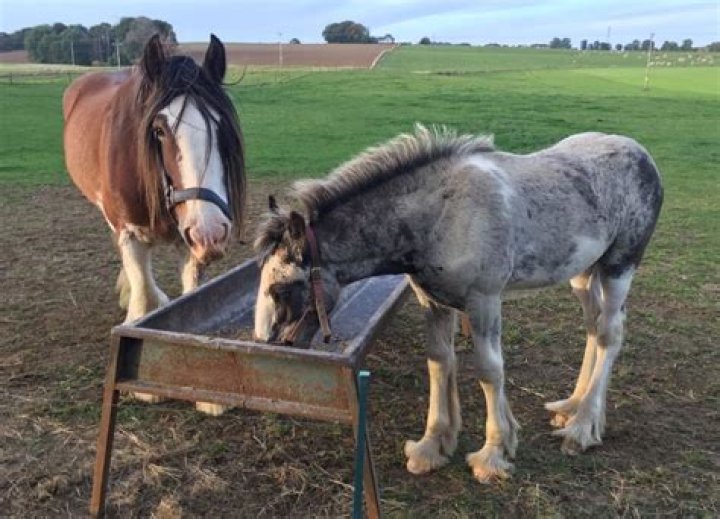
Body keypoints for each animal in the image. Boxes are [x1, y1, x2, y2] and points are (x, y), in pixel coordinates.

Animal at [63, 34, 245, 415]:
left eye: (221, 126)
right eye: (159, 130)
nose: (212, 232)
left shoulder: (190, 238)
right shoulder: (131, 231)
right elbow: (142, 283)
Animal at [252, 125, 663, 481]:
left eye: (280, 288)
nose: (270, 344)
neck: (440, 216)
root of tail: (642, 154)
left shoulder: (484, 301)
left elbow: (490, 371)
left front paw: (493, 454)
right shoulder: (434, 302)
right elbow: (439, 362)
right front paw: (432, 447)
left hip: (619, 266)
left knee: (610, 334)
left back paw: (581, 428)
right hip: (582, 274)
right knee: (594, 328)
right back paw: (571, 408)